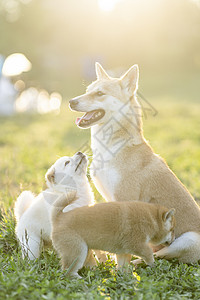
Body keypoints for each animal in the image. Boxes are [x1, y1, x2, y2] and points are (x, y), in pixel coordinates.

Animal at [69, 62, 200, 264]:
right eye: (87, 90)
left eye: (99, 93)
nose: (71, 101)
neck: (112, 147)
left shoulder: (124, 202)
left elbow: (123, 251)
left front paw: (120, 267)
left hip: (189, 240)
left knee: (158, 257)